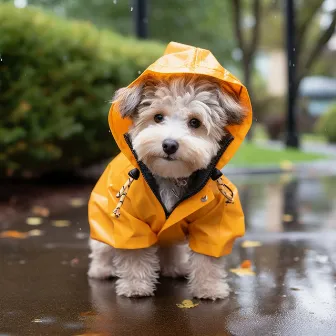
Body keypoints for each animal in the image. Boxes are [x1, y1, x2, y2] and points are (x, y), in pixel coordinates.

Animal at [88, 74, 245, 300]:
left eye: (195, 122)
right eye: (158, 117)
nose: (169, 145)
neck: (171, 177)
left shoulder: (213, 222)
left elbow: (207, 258)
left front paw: (209, 288)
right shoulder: (130, 222)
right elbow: (134, 256)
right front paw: (136, 286)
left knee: (170, 248)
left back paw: (175, 268)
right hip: (103, 217)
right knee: (102, 248)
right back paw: (102, 270)